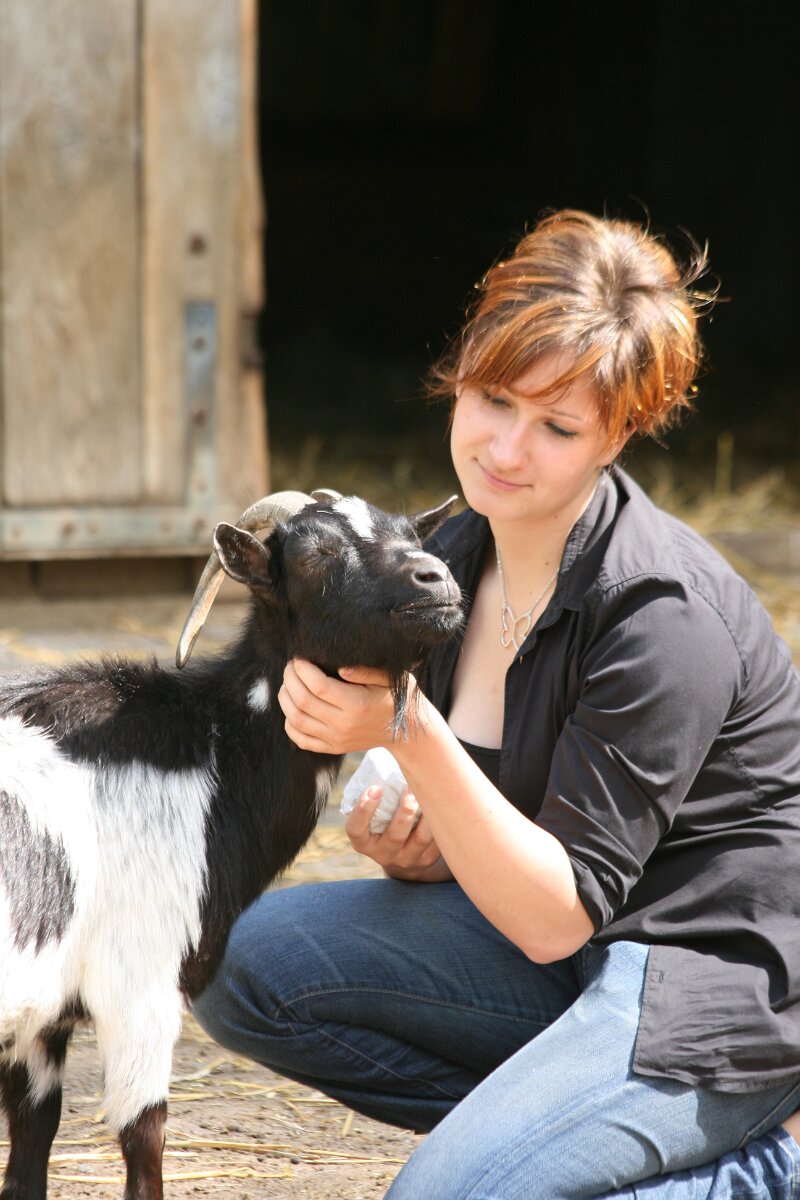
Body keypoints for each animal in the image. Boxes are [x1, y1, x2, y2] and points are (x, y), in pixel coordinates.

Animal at [0, 488, 462, 1200]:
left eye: (413, 533)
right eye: (315, 554)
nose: (434, 580)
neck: (215, 753)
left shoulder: (40, 1019)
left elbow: (31, 1147)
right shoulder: (139, 983)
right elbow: (145, 1140)